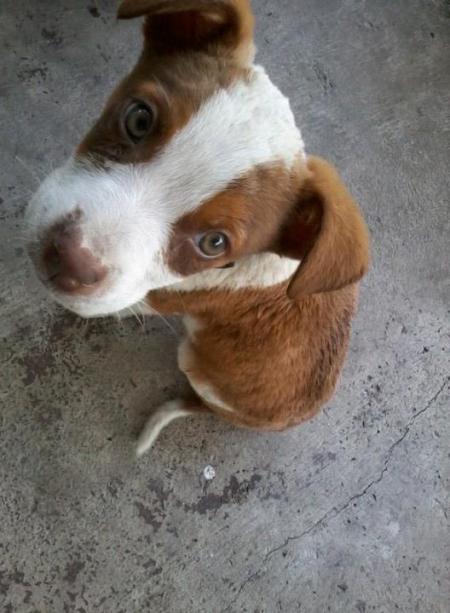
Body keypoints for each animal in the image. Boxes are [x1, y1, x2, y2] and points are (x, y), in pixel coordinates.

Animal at [26, 0, 370, 454]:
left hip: (195, 362)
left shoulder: (157, 296)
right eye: (139, 119)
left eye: (213, 243)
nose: (67, 259)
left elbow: (125, 301)